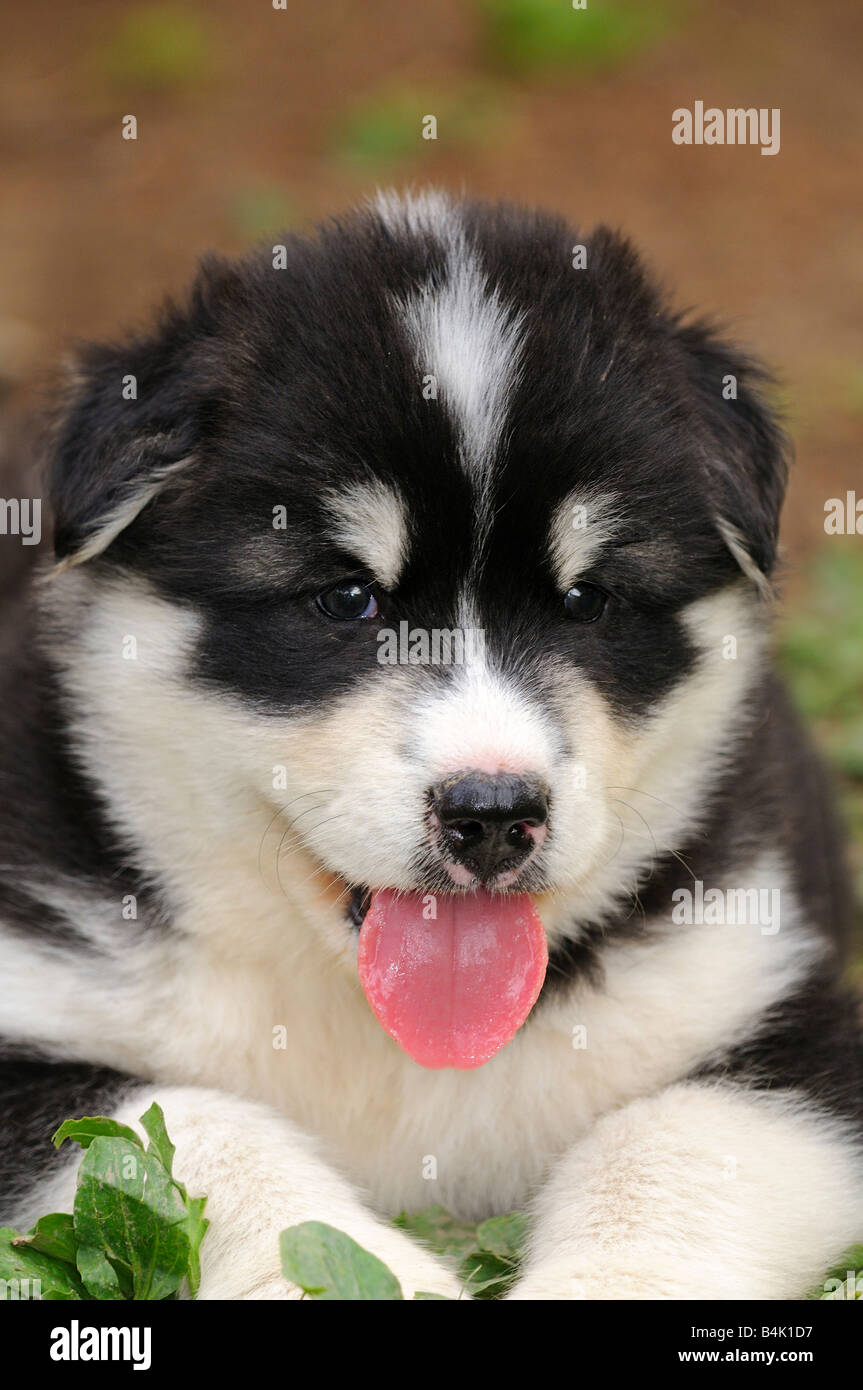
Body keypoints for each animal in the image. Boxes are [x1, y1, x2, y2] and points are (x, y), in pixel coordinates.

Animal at [1, 190, 861, 1295]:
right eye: (344, 598)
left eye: (586, 600)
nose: (491, 815)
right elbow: (188, 1130)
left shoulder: (782, 1016)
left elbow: (670, 1136)